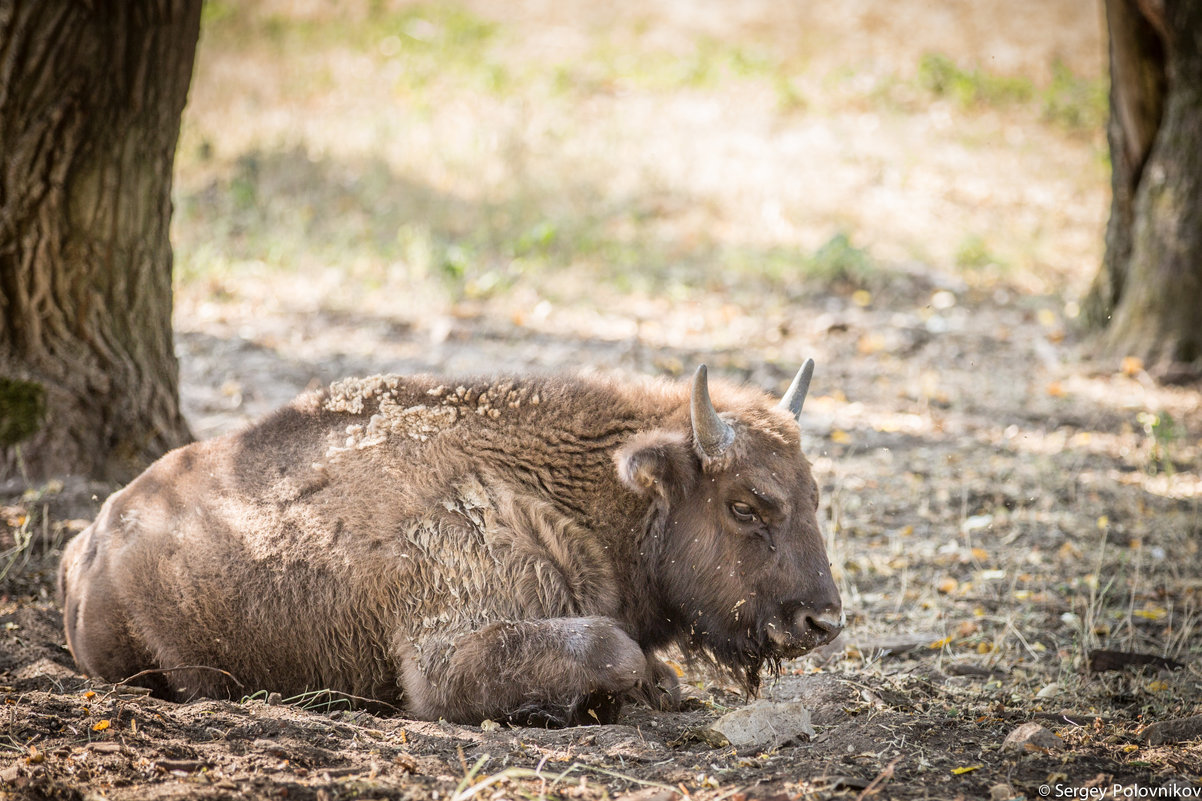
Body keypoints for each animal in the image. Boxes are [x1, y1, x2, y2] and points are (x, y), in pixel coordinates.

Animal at [58, 360, 846, 721]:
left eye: (815, 495)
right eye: (746, 505)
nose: (823, 620)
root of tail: (93, 535)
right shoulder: (445, 659)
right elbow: (615, 650)